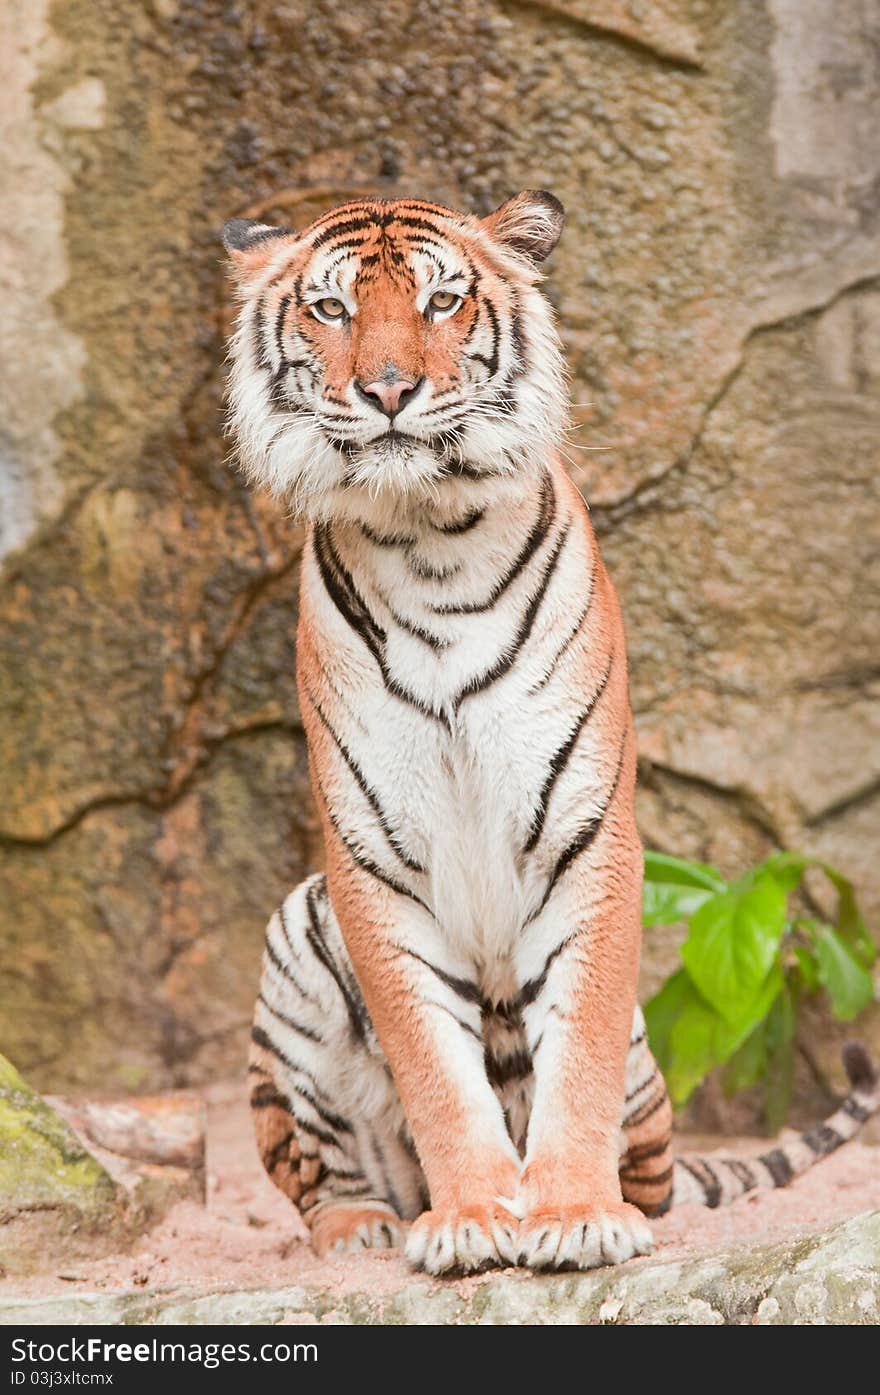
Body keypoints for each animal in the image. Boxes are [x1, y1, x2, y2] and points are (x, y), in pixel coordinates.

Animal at [221, 193, 880, 1277]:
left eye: (442, 301)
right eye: (330, 309)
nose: (389, 389)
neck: (429, 539)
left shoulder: (586, 832)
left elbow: (578, 1048)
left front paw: (571, 1211)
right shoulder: (371, 861)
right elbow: (436, 1068)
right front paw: (474, 1217)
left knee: (657, 1176)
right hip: (295, 937)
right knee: (317, 1175)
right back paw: (365, 1229)